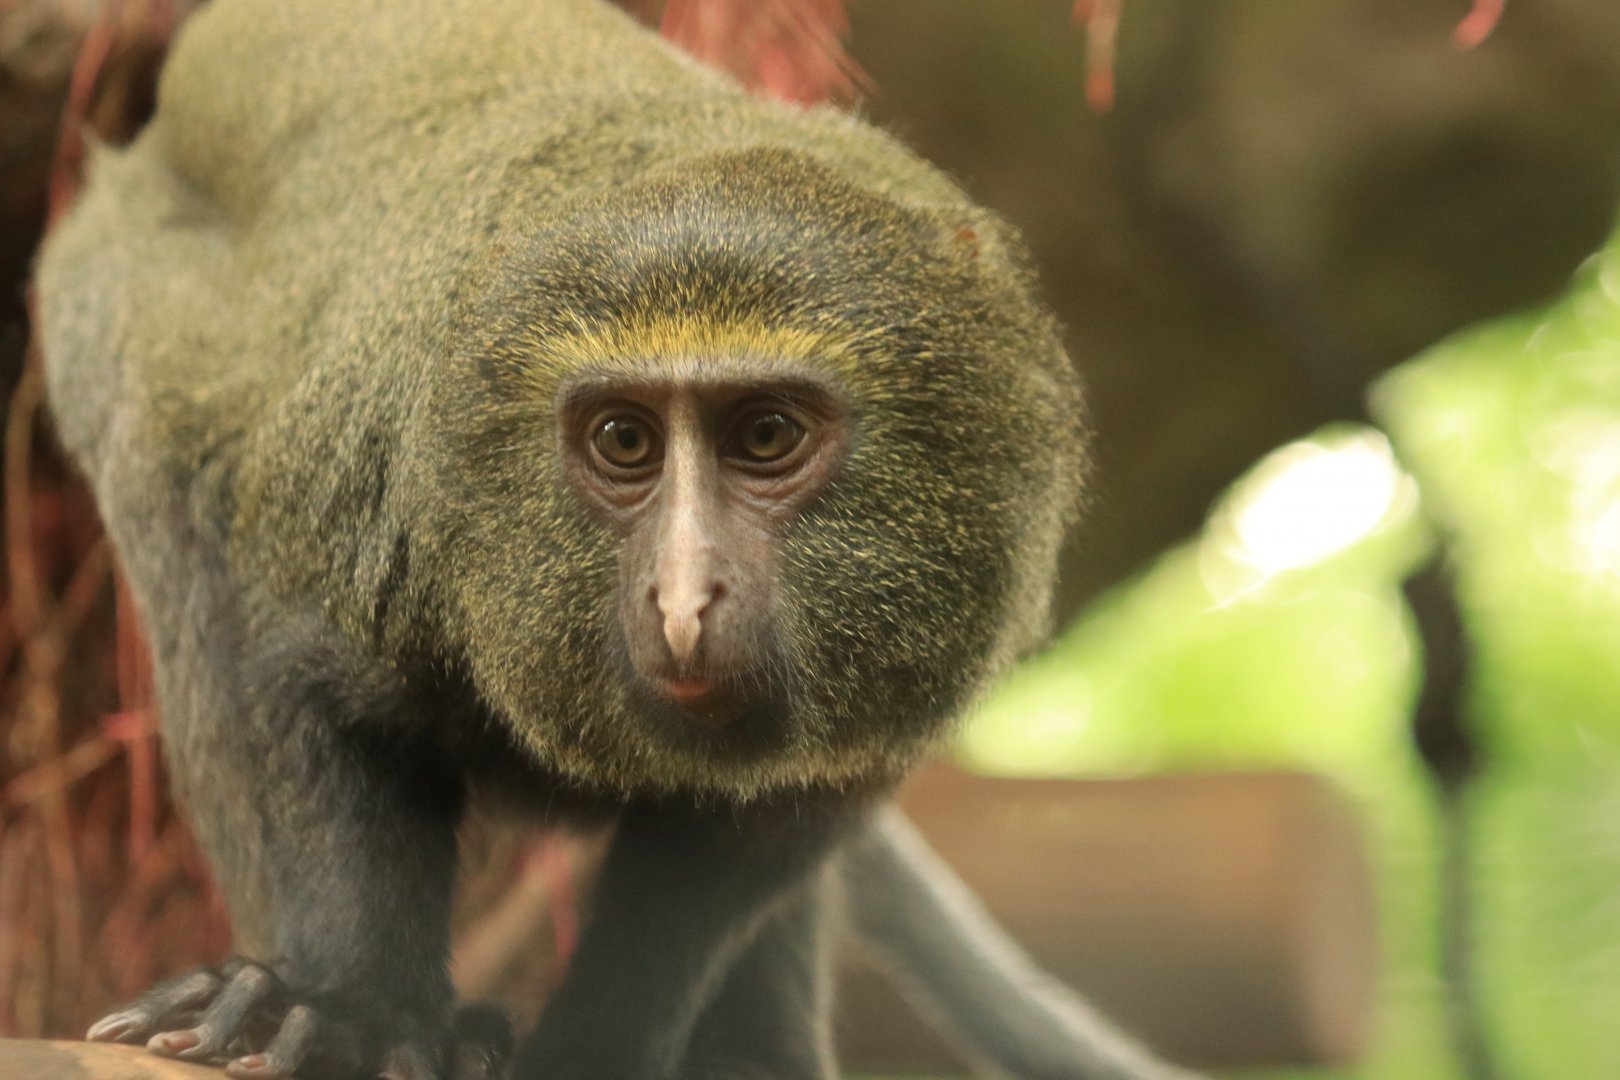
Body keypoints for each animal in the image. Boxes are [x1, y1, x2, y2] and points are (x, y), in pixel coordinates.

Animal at [35, 0, 1201, 1078]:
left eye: (766, 436)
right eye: (624, 440)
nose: (683, 598)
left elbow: (757, 839)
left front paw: (593, 1046)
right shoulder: (375, 494)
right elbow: (306, 685)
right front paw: (348, 1006)